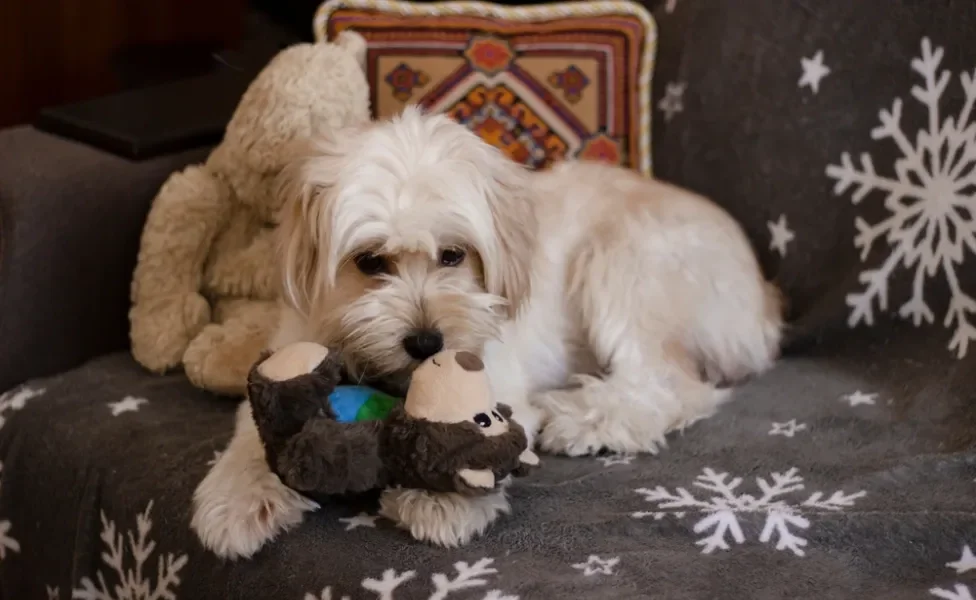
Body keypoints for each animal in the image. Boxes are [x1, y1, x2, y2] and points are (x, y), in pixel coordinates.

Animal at [191, 106, 784, 556]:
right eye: (370, 262)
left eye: (454, 255)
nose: (426, 343)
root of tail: (765, 300)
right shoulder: (291, 347)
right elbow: (253, 433)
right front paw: (239, 496)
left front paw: (443, 496)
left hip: (623, 260)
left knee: (673, 384)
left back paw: (588, 419)